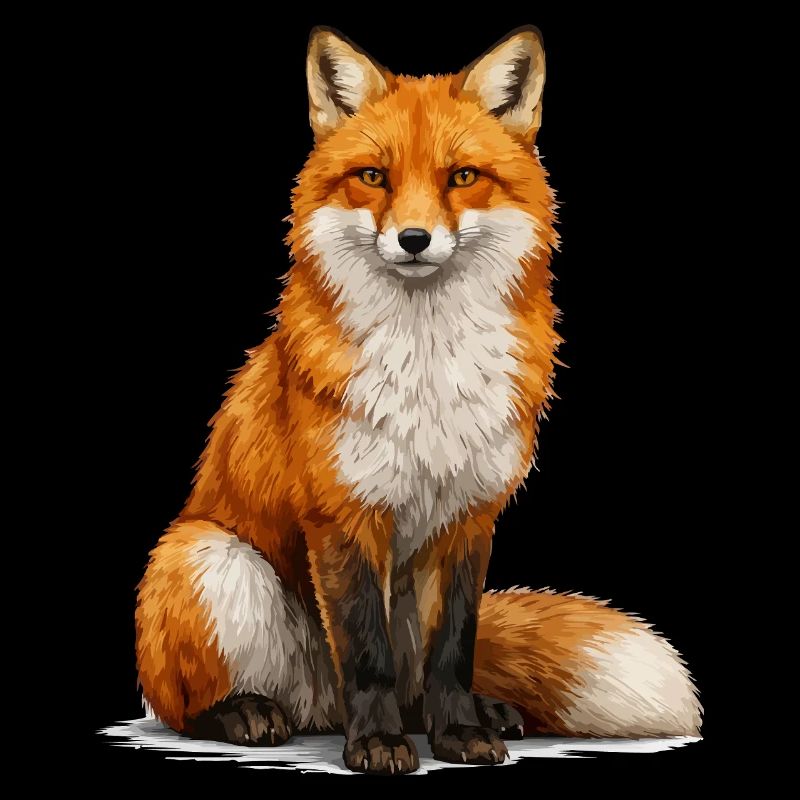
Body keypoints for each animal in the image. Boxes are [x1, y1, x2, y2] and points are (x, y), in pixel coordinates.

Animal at [135, 25, 702, 775]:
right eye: (374, 177)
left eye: (461, 177)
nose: (412, 239)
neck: (430, 369)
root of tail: (317, 707)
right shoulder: (344, 514)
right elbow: (365, 652)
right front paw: (376, 745)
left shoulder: (468, 516)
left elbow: (453, 650)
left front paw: (459, 731)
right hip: (209, 559)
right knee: (188, 704)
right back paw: (245, 713)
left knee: (418, 684)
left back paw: (469, 713)